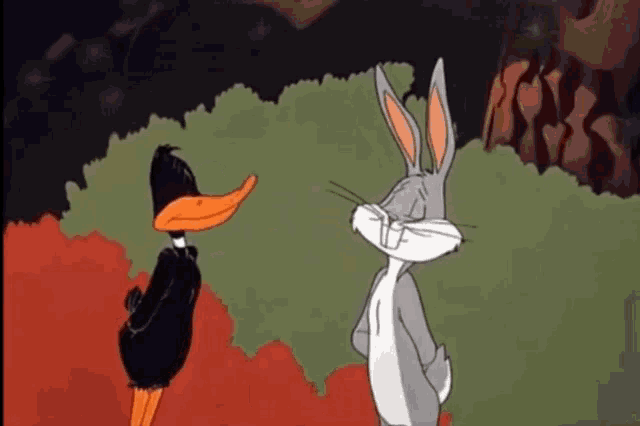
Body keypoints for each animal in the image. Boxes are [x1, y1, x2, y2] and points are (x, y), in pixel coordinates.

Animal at [349, 58, 462, 426]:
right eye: (391, 195)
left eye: (419, 208)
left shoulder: (408, 294)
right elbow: (359, 337)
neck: (394, 274)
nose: (386, 219)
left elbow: (423, 349)